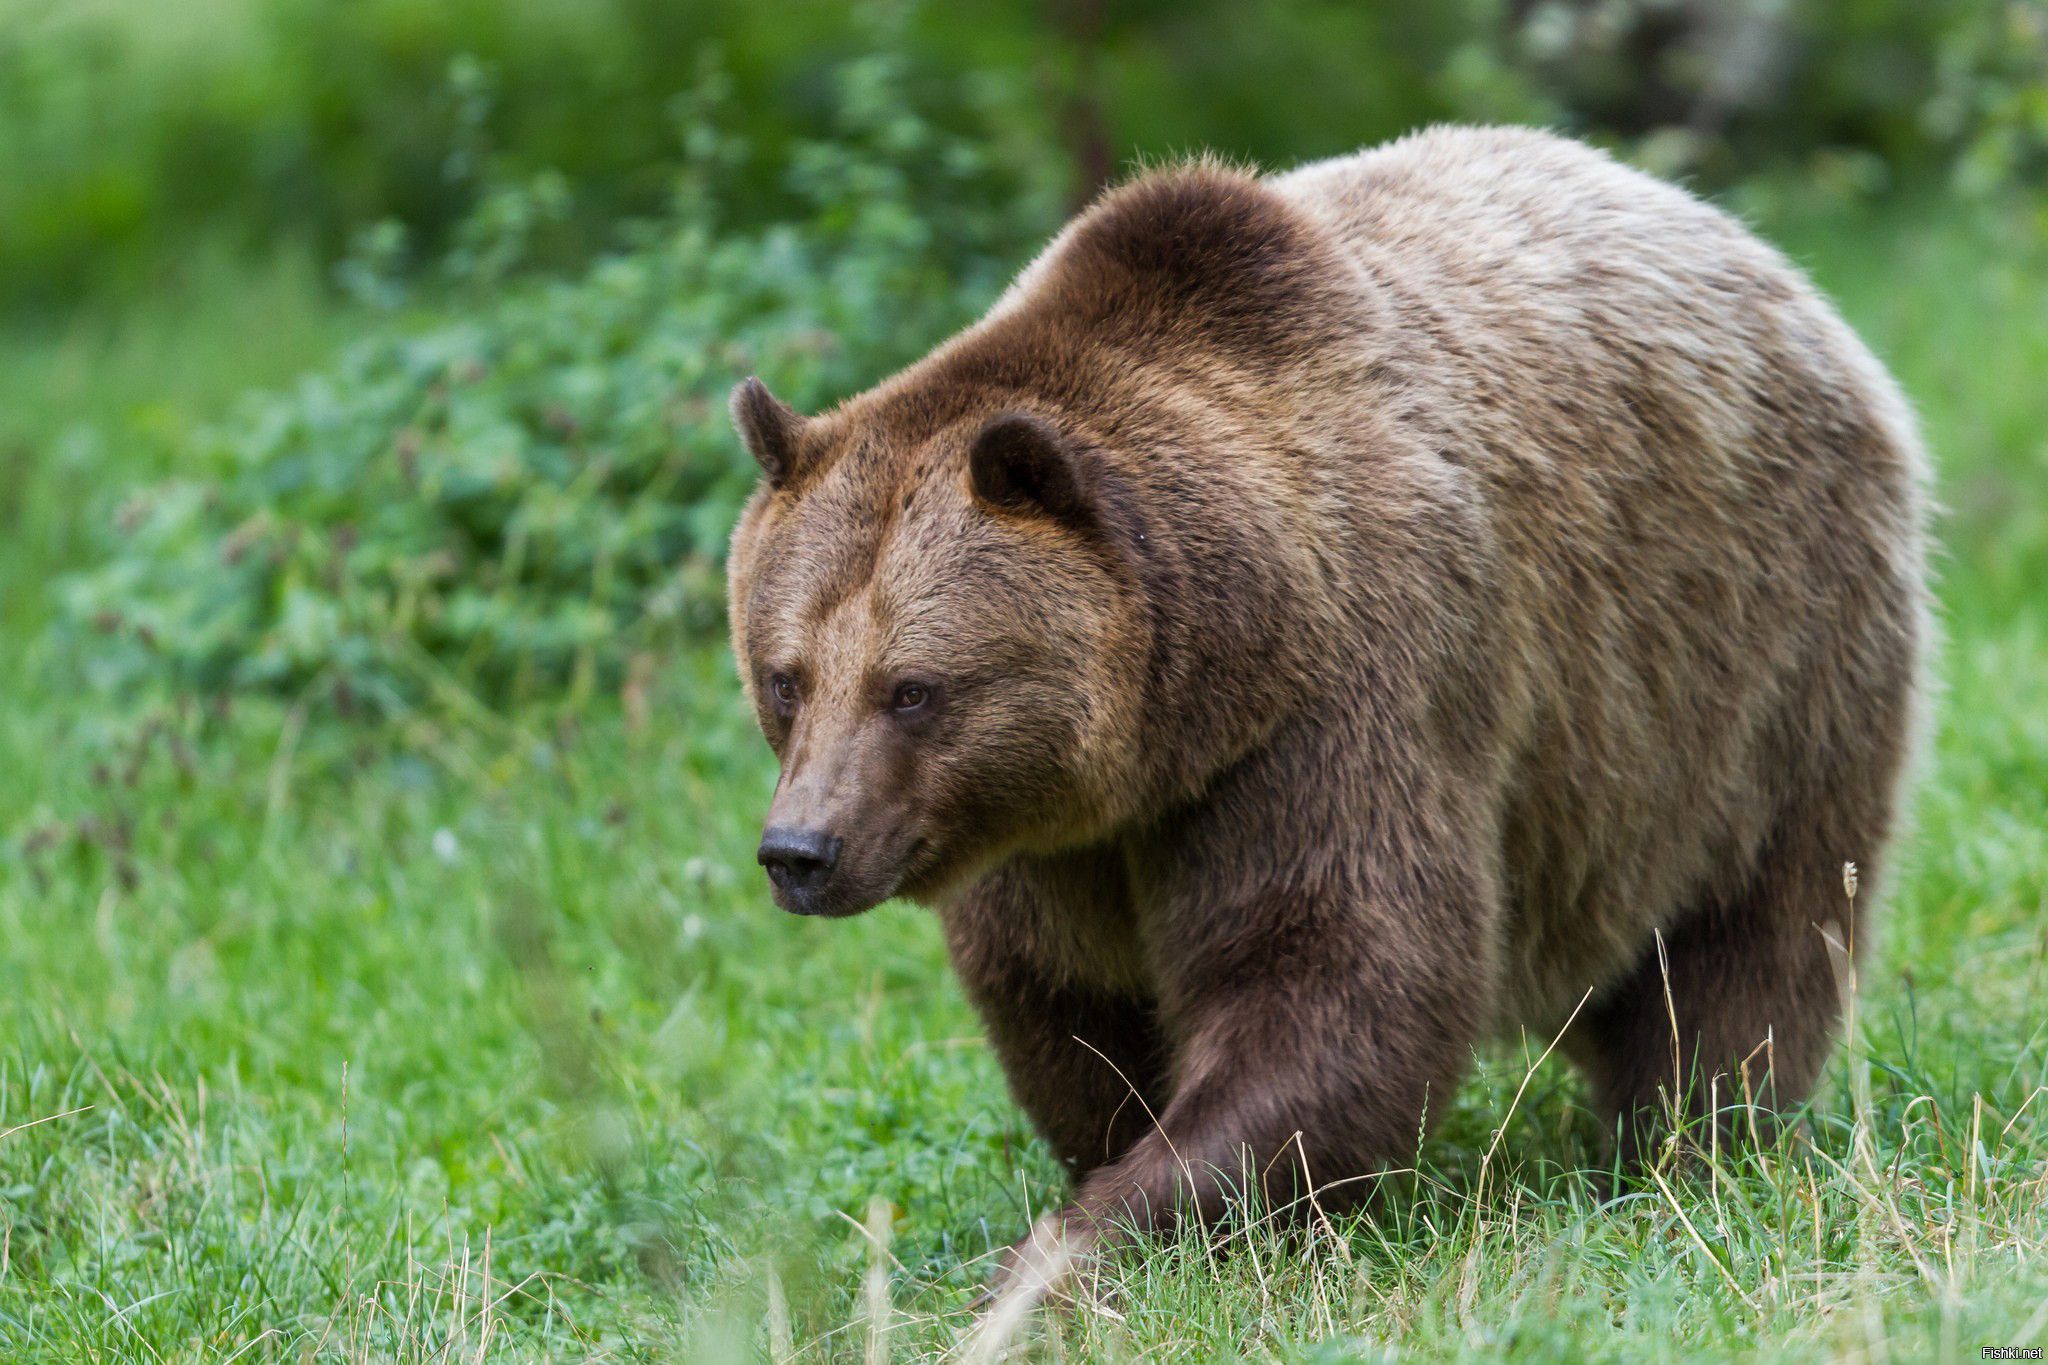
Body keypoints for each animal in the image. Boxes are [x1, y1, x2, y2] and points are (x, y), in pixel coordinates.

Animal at [729, 127, 1925, 1309]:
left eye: (912, 687)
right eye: (785, 677)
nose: (801, 850)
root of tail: (1755, 254)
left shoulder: (1339, 703)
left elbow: (1332, 976)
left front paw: (1076, 1250)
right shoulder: (1045, 835)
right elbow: (1067, 1001)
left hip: (1748, 662)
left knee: (1749, 934)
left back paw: (1688, 1143)